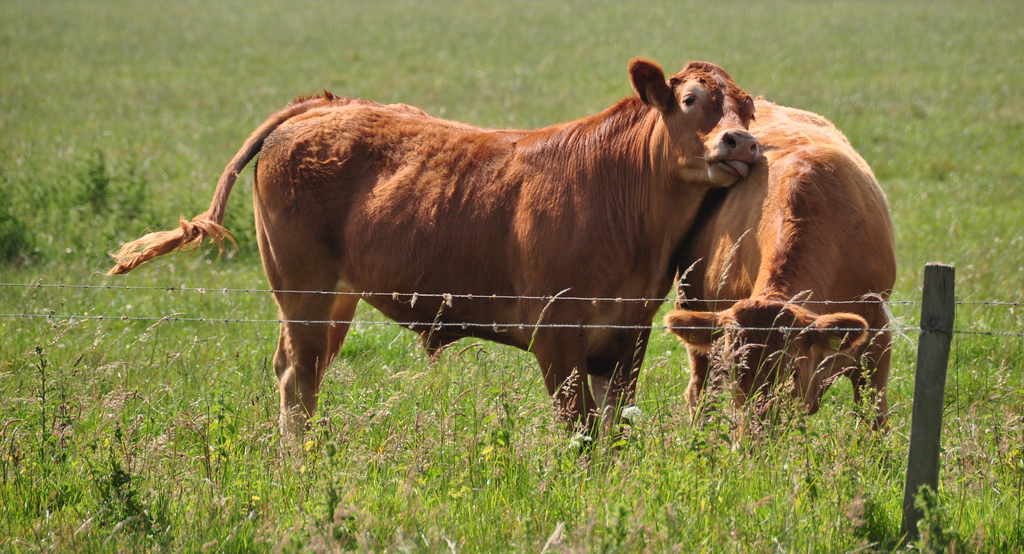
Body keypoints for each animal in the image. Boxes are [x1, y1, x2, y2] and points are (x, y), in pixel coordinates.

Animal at [108, 59, 760, 440]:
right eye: (690, 101)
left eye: (748, 109)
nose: (742, 142)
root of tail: (327, 104)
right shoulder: (556, 334)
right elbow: (578, 432)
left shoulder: (628, 335)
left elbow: (613, 430)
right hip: (302, 287)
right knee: (298, 377)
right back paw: (302, 462)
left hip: (335, 297)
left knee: (297, 371)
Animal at [664, 98, 896, 430]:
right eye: (735, 373)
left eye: (792, 373)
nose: (755, 436)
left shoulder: (878, 334)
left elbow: (875, 416)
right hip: (690, 304)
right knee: (699, 390)